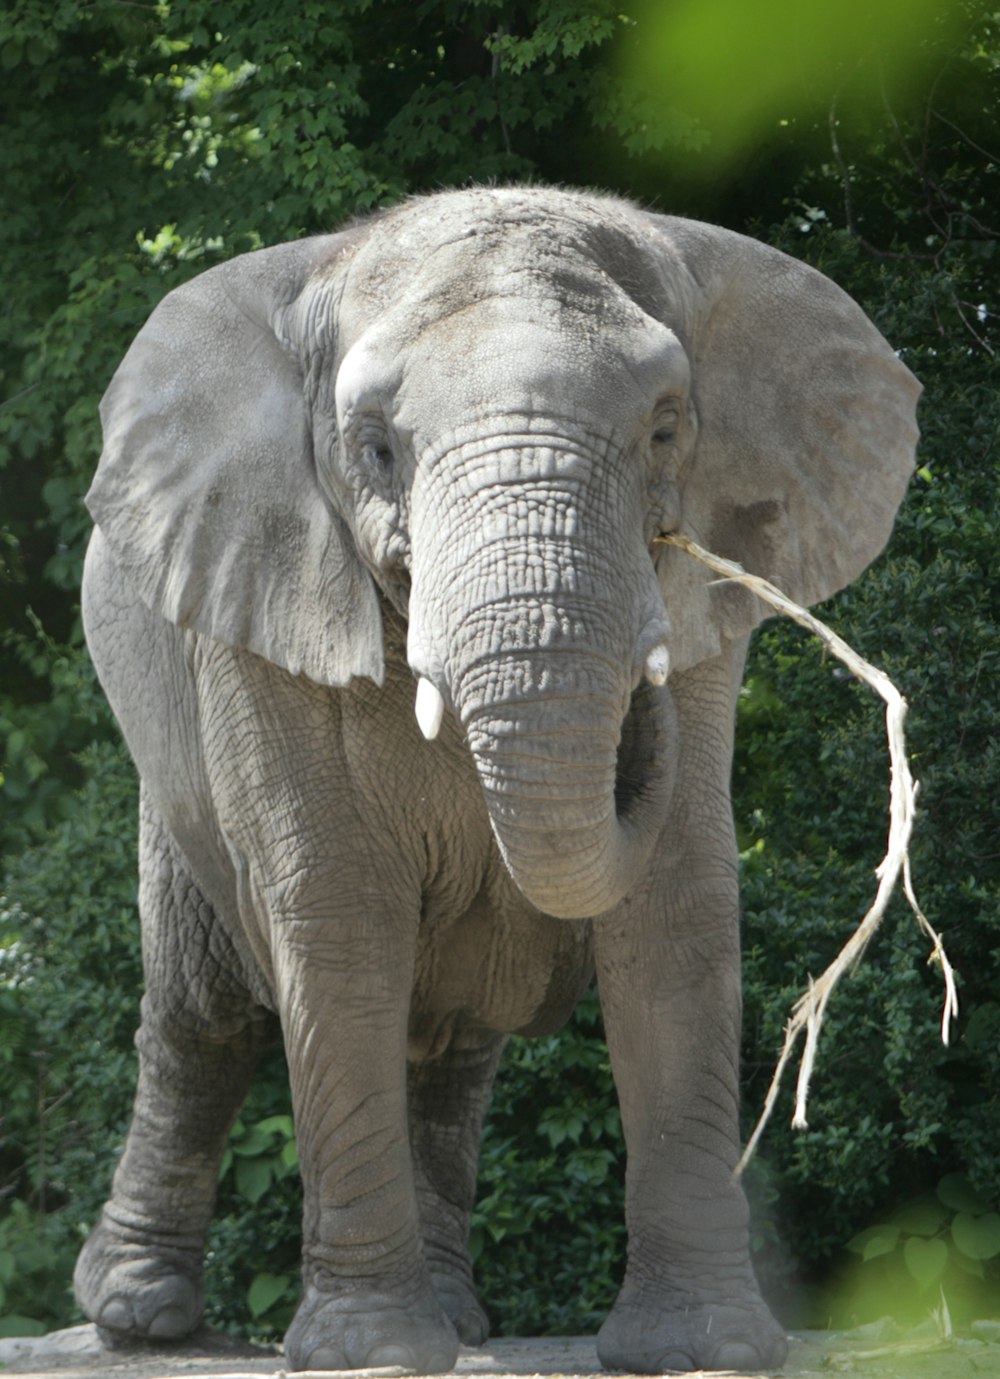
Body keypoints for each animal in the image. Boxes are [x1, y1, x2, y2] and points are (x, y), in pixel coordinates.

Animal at [74, 180, 915, 1367]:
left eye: (665, 428)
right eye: (375, 449)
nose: (639, 702)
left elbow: (678, 908)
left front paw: (697, 1345)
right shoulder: (260, 594)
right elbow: (335, 908)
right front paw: (367, 1353)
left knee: (451, 1043)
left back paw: (457, 1316)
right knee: (205, 1012)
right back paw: (137, 1315)